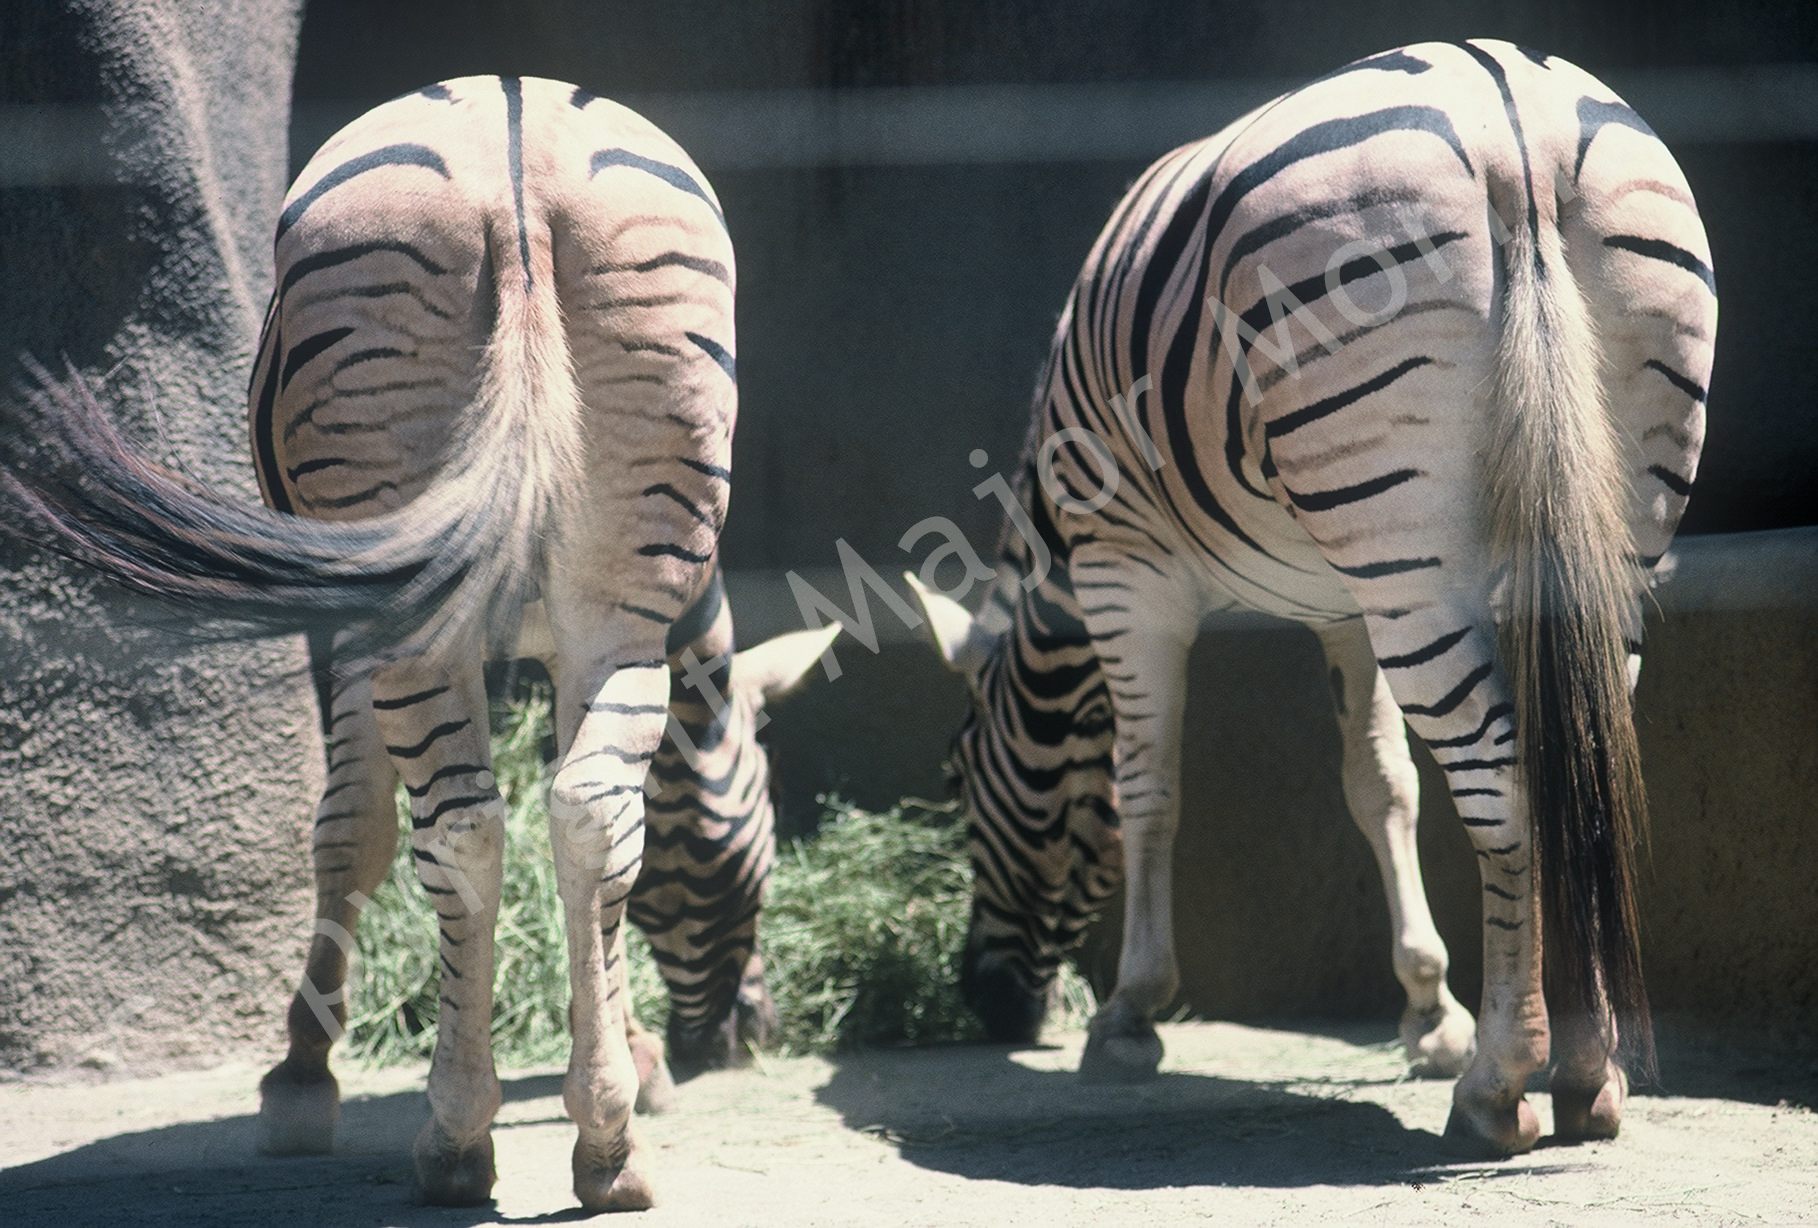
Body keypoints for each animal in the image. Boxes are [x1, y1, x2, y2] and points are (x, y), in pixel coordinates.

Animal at [0, 74, 832, 1207]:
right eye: (758, 845)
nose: (750, 1035)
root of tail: (519, 143)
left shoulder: (361, 621)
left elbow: (353, 826)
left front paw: (302, 1078)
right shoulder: (554, 639)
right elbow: (542, 835)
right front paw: (628, 1059)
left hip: (403, 578)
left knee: (466, 828)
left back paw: (457, 1139)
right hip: (616, 582)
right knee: (591, 815)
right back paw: (607, 1151)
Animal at [909, 40, 1716, 1164]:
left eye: (954, 774)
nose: (988, 1007)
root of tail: (1510, 109)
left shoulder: (1126, 571)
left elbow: (1148, 787)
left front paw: (1128, 1018)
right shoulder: (1343, 602)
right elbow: (1380, 786)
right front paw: (1428, 1011)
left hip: (1406, 545)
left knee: (1506, 783)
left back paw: (1499, 1087)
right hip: (1588, 531)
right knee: (1576, 767)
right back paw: (1587, 1077)